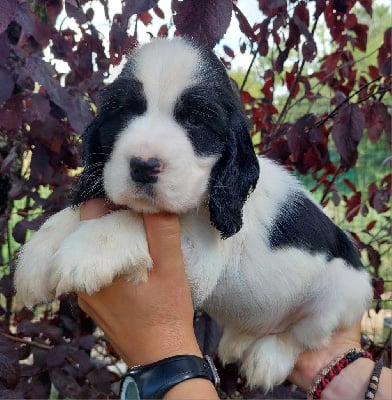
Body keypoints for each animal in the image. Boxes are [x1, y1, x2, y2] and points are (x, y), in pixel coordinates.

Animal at [13, 37, 372, 390]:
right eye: (125, 112)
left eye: (196, 121)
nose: (143, 166)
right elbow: (70, 217)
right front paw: (34, 259)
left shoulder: (201, 256)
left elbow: (133, 221)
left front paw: (85, 251)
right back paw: (238, 341)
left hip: (340, 296)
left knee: (301, 336)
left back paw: (267, 359)